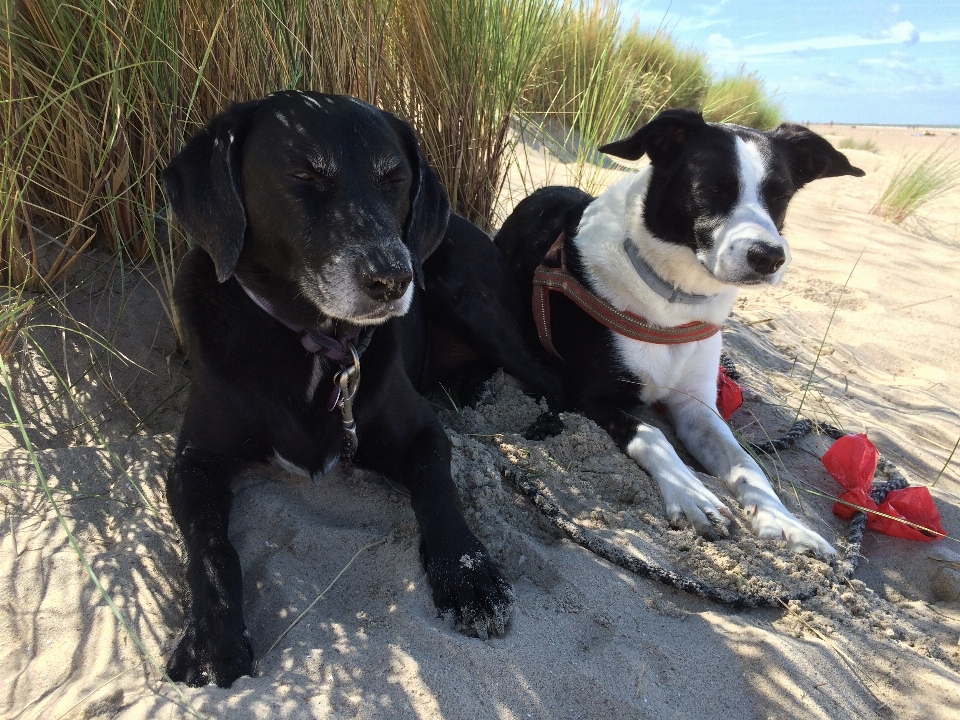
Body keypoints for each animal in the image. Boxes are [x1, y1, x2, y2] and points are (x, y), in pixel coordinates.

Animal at [161, 93, 560, 688]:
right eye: (302, 174)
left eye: (394, 180)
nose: (393, 278)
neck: (312, 340)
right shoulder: (193, 463)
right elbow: (211, 548)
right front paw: (213, 640)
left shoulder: (422, 434)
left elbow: (440, 494)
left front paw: (470, 576)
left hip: (475, 304)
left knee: (560, 380)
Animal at [498, 109, 868, 556]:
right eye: (710, 188)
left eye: (780, 196)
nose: (768, 257)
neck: (672, 301)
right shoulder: (586, 395)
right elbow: (653, 434)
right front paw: (693, 496)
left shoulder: (697, 407)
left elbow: (746, 463)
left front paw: (787, 524)